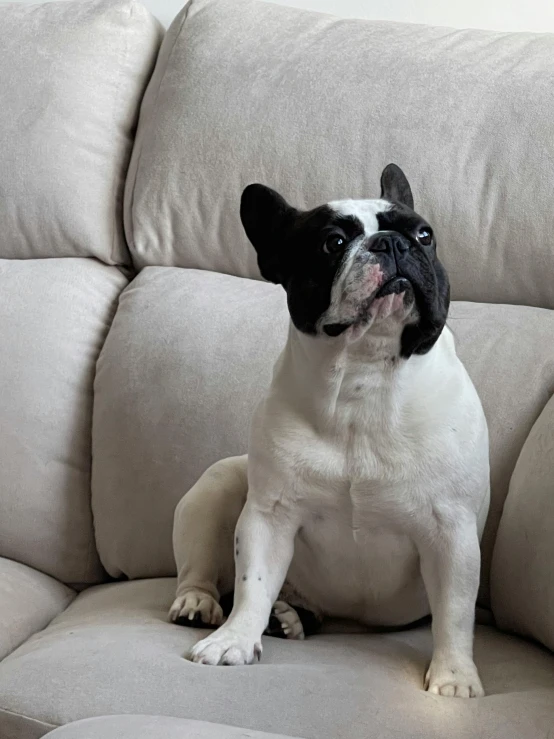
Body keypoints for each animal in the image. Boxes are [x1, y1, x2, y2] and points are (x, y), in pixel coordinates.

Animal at [169, 163, 488, 700]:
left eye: (425, 235)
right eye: (333, 242)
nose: (392, 243)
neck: (364, 375)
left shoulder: (452, 528)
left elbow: (455, 611)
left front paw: (454, 678)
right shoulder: (270, 516)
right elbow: (253, 582)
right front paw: (235, 639)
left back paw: (289, 619)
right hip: (216, 484)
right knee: (202, 569)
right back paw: (206, 605)